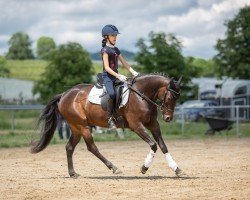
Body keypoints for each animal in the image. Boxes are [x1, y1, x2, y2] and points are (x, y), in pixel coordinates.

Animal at [29, 73, 186, 178]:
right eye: (170, 97)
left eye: (177, 98)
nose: (168, 118)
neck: (141, 95)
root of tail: (64, 94)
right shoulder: (136, 125)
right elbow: (153, 144)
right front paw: (144, 168)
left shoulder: (153, 124)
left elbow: (163, 145)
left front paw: (177, 169)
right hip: (82, 126)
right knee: (92, 147)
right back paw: (114, 168)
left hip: (76, 128)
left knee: (69, 147)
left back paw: (73, 173)